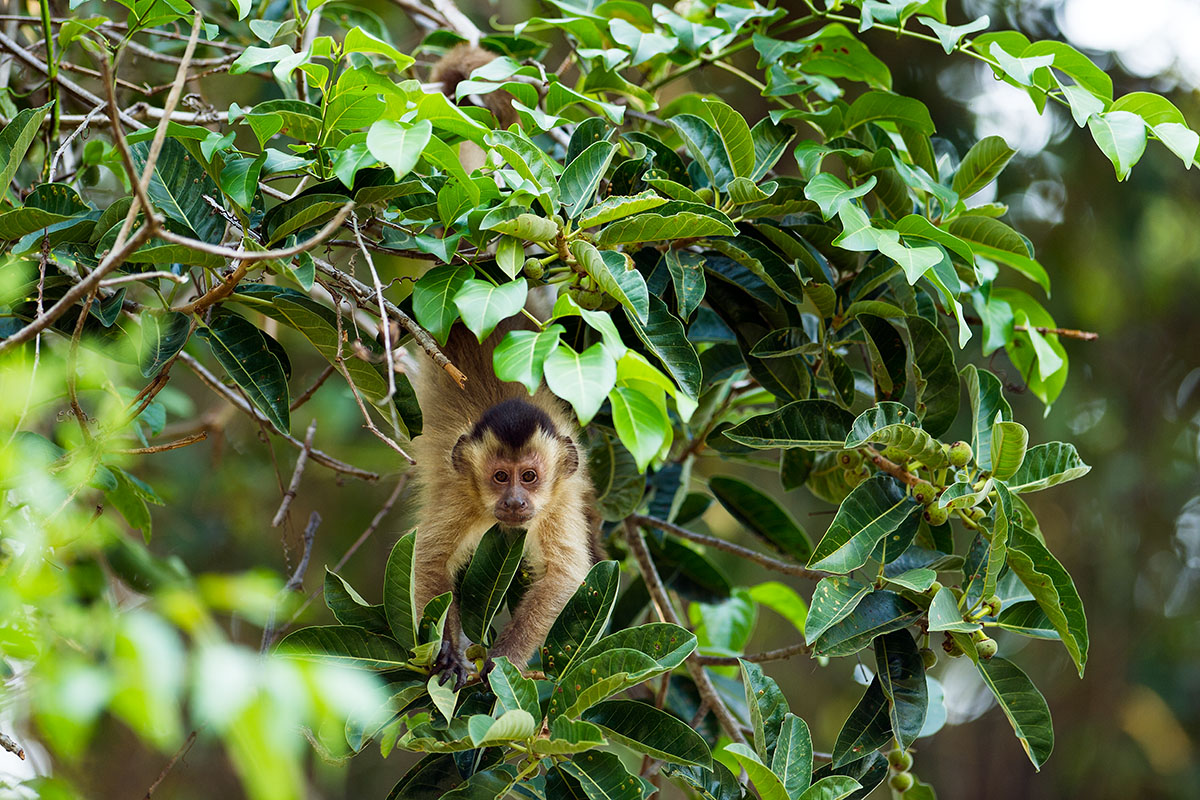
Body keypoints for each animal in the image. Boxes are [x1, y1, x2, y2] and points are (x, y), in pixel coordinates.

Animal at [412, 316, 604, 690]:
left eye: (529, 476)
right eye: (501, 477)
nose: (515, 502)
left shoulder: (557, 502)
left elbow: (565, 575)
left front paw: (502, 662)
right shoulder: (461, 493)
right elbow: (430, 559)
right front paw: (449, 655)